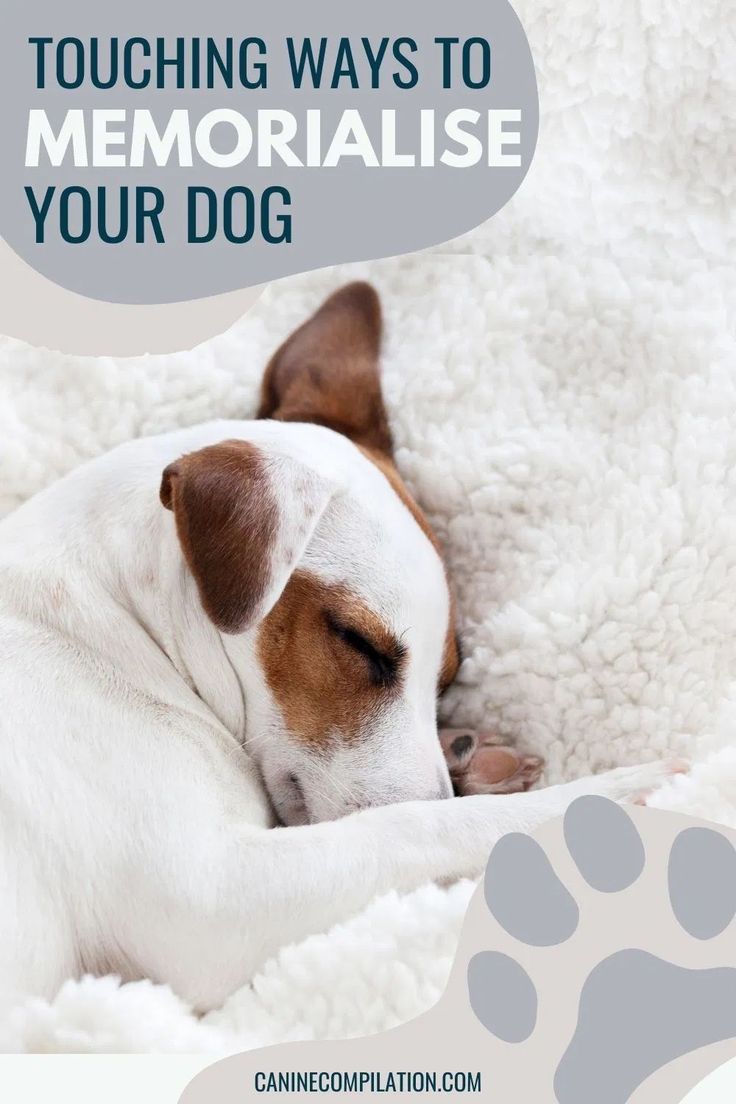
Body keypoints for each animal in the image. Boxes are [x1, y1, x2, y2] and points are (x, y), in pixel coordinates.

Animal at [0, 280, 684, 1011]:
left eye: (447, 679)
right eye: (360, 645)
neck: (113, 619)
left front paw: (469, 759)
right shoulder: (212, 901)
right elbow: (417, 828)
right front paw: (612, 800)